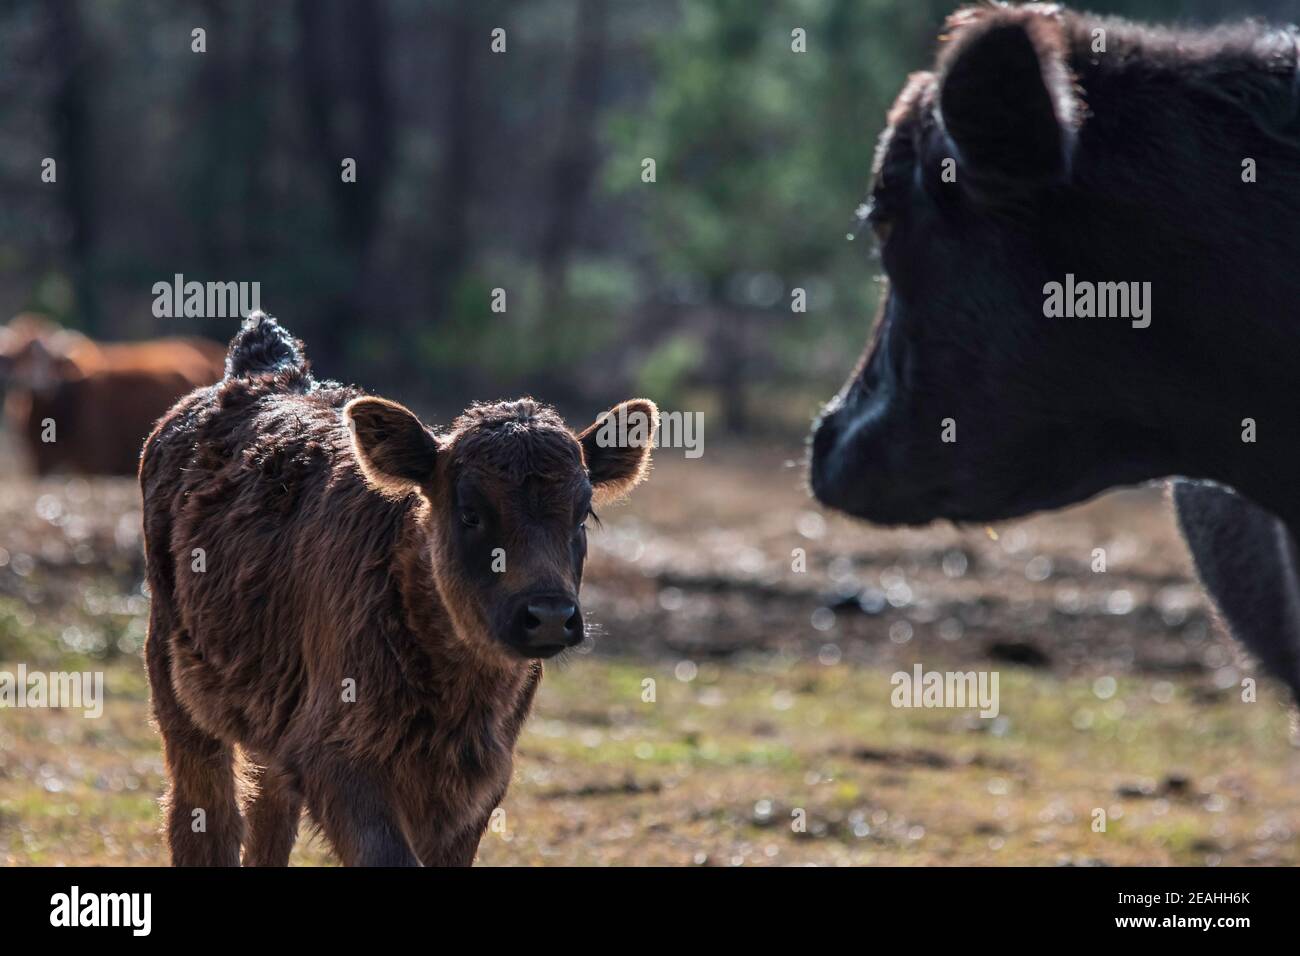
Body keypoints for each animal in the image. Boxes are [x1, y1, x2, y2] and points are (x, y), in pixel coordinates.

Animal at [139, 316, 660, 868]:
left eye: (582, 515)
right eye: (469, 514)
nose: (550, 615)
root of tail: (261, 375)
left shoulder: (476, 784)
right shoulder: (338, 759)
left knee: (269, 812)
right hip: (175, 680)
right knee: (203, 813)